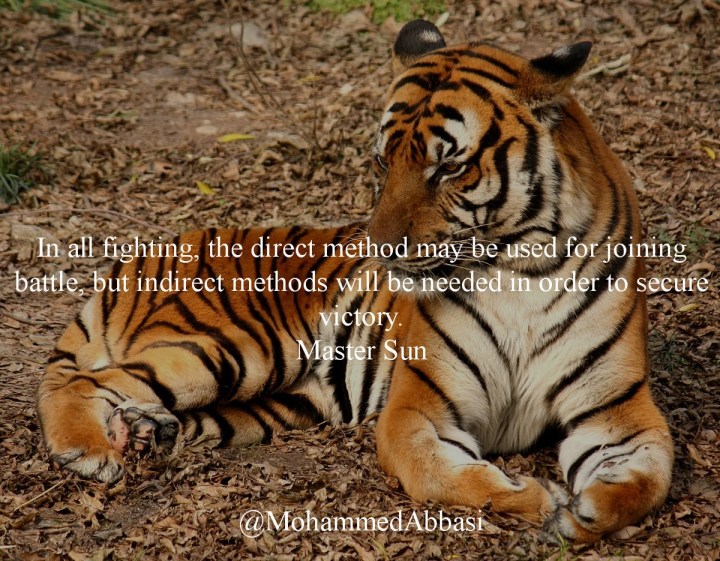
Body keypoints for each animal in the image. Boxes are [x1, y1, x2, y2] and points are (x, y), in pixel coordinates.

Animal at [36, 19, 673, 543]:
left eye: (449, 166)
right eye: (383, 161)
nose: (381, 249)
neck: (519, 268)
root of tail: (141, 255)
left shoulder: (618, 411)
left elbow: (649, 479)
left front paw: (587, 512)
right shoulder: (419, 406)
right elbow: (440, 475)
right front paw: (536, 499)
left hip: (282, 402)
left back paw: (147, 433)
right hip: (238, 346)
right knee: (84, 382)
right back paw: (88, 452)